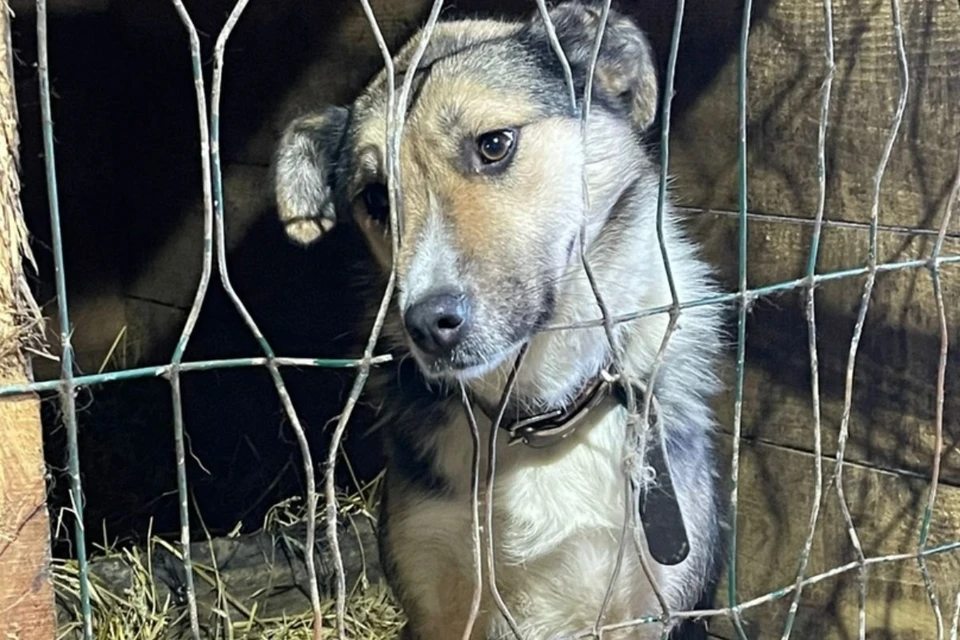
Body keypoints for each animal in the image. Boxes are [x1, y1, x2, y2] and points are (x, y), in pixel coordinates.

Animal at [274, 2, 724, 636]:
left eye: (494, 145)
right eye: (376, 199)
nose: (427, 324)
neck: (537, 419)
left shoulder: (655, 605)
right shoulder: (433, 591)